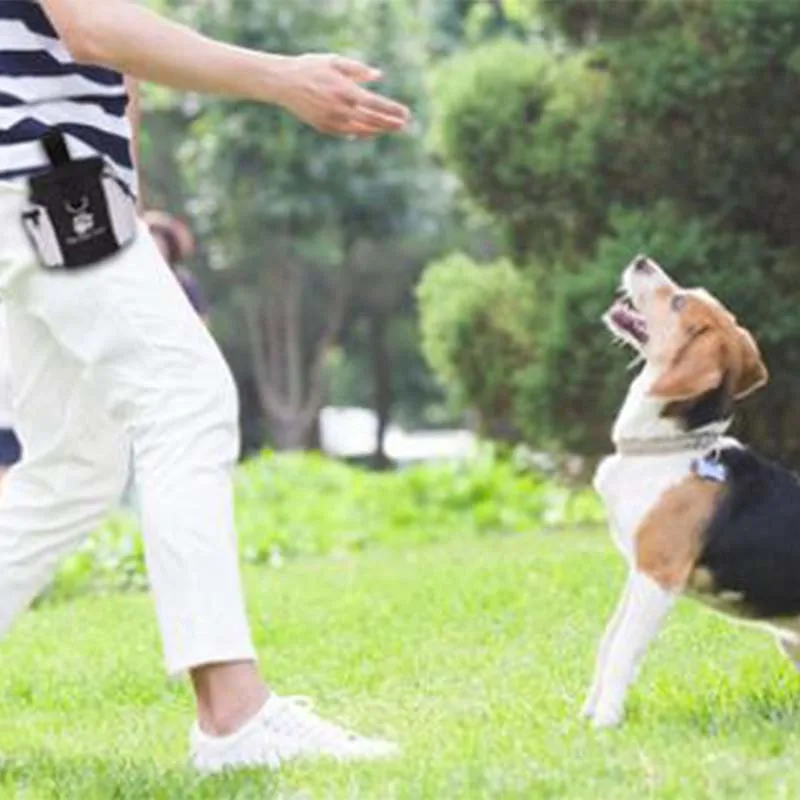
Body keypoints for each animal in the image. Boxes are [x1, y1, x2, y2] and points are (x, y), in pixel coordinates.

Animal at [580, 253, 800, 728]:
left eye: (679, 301)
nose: (641, 260)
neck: (672, 446)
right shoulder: (637, 569)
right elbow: (609, 639)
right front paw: (589, 711)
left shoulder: (658, 575)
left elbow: (624, 649)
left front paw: (606, 722)